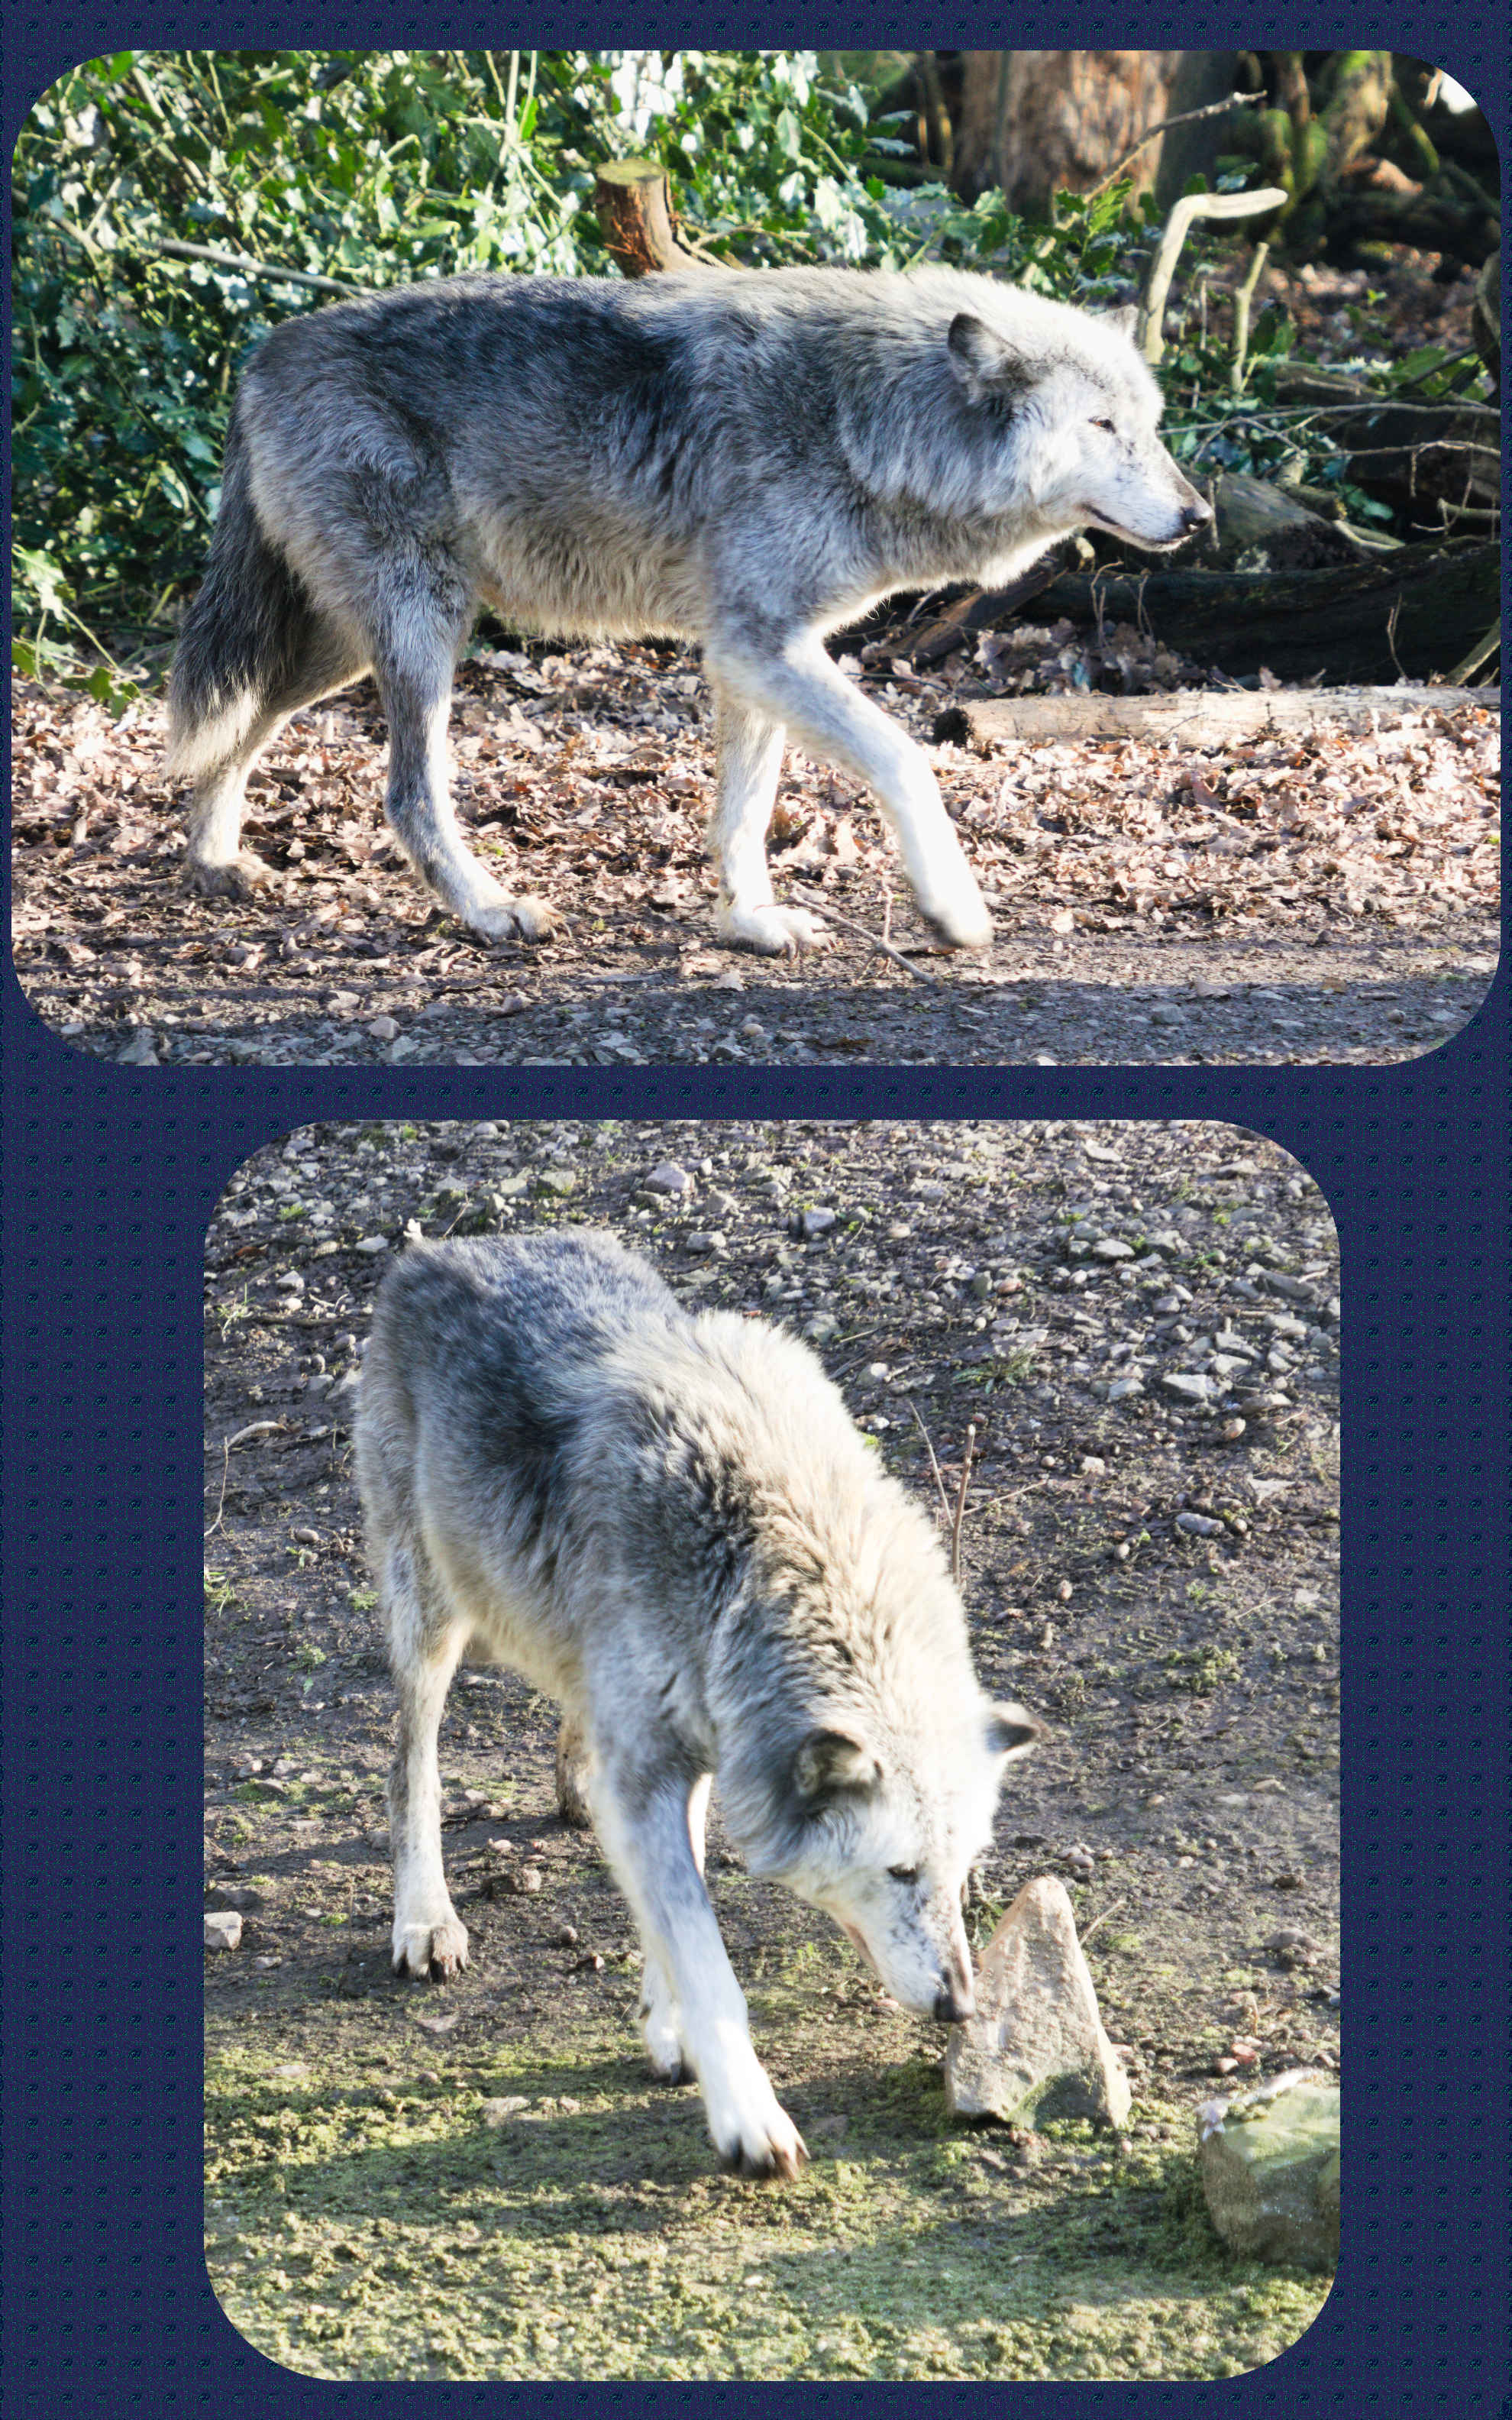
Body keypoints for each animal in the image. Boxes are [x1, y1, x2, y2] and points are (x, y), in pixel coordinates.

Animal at [167, 264, 1209, 956]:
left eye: (1151, 428)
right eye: (1102, 427)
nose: (1199, 515)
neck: (863, 420)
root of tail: (262, 354)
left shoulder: (755, 655)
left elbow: (743, 813)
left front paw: (749, 923)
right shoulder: (761, 647)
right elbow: (906, 759)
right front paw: (953, 910)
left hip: (348, 647)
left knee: (239, 724)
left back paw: (216, 861)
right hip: (423, 635)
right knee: (407, 793)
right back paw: (491, 909)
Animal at [354, 1229, 1043, 2178]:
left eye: (964, 1871)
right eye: (900, 1872)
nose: (960, 2009)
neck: (756, 1557)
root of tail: (452, 1245)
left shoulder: (701, 1753)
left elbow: (667, 1910)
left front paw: (666, 2027)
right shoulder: (653, 1770)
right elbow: (704, 1951)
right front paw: (749, 2118)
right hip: (433, 1617)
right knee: (410, 1762)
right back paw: (426, 1920)